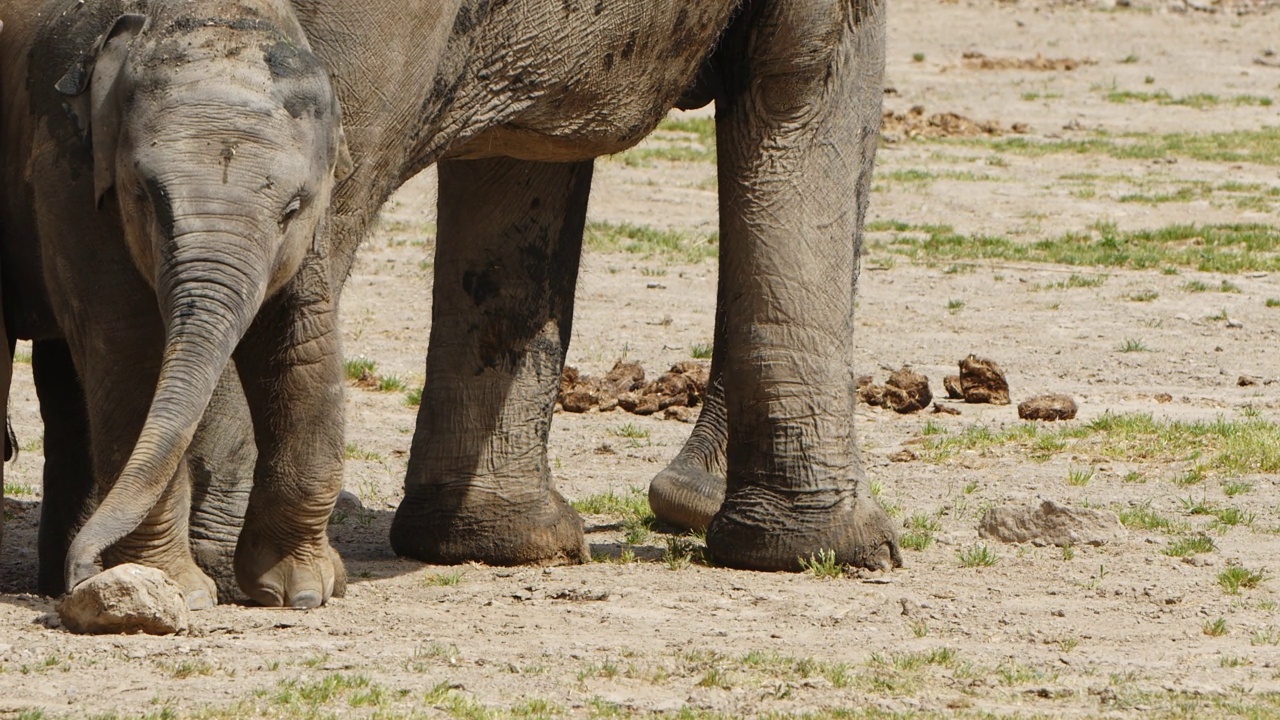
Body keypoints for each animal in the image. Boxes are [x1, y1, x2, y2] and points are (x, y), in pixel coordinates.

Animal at [0, 0, 350, 604]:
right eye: (144, 195)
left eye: (293, 208)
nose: (80, 571)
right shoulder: (69, 170)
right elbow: (131, 353)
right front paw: (175, 589)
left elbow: (303, 342)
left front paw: (300, 590)